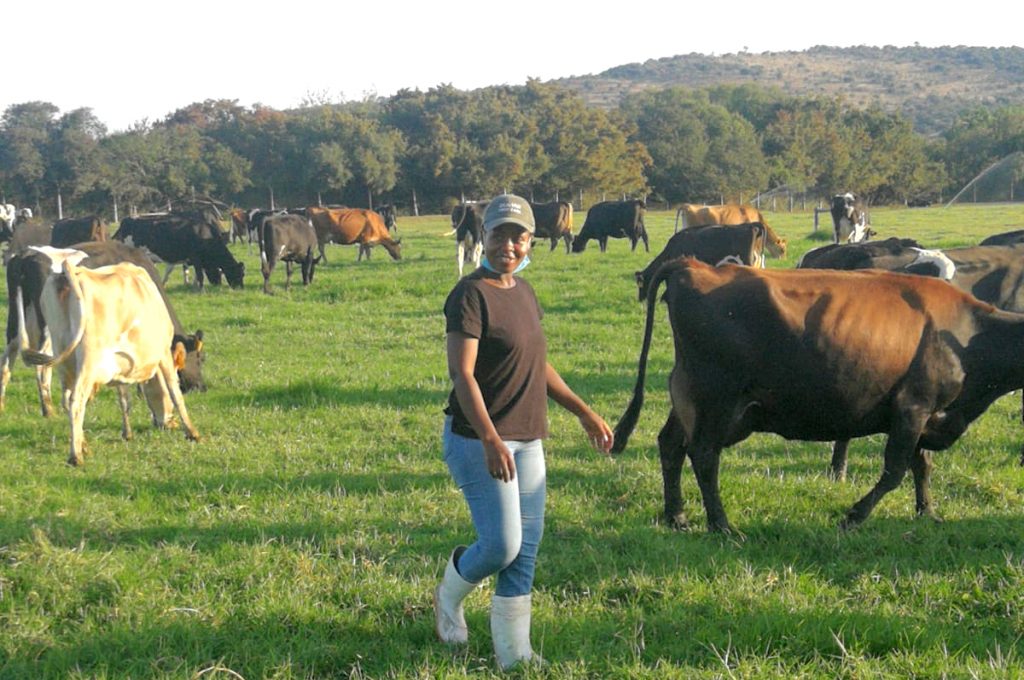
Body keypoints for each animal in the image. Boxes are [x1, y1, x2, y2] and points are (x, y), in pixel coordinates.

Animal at [18, 246, 199, 464]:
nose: (168, 424)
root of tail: (70, 272)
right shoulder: (162, 353)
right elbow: (175, 392)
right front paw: (192, 432)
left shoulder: (119, 363)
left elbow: (124, 398)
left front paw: (127, 433)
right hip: (88, 359)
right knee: (76, 400)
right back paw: (76, 455)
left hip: (64, 358)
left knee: (66, 399)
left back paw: (83, 444)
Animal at [112, 210, 245, 288]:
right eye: (238, 274)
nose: (240, 288)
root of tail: (126, 219)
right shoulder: (195, 258)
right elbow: (199, 275)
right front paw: (200, 289)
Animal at [610, 258, 1024, 532]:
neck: (970, 336)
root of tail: (693, 266)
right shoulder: (912, 406)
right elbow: (895, 470)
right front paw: (854, 516)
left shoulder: (928, 413)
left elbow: (922, 466)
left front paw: (927, 513)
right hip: (717, 399)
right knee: (704, 455)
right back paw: (722, 525)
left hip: (690, 398)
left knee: (671, 445)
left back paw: (676, 516)